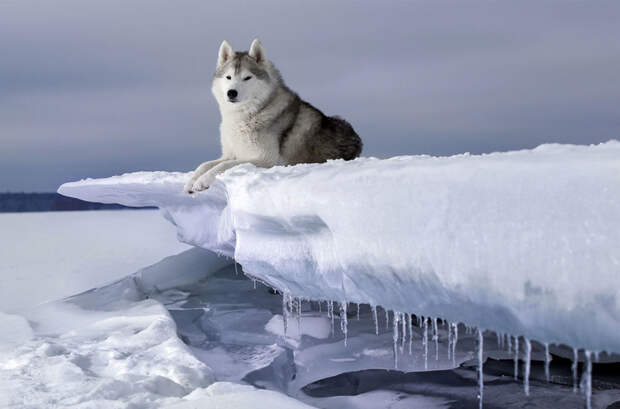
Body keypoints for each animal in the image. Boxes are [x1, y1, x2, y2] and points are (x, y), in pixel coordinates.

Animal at [182, 39, 360, 192]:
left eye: (247, 77)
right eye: (228, 77)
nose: (231, 92)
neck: (246, 116)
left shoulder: (265, 159)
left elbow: (223, 166)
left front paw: (202, 182)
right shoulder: (231, 153)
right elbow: (204, 165)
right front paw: (191, 182)